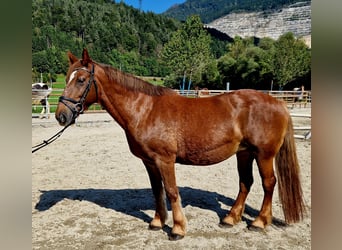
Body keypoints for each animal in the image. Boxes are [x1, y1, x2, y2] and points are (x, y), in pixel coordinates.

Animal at [55, 48, 304, 240]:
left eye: (81, 80)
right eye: (67, 78)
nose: (61, 116)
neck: (145, 110)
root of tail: (278, 103)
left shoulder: (165, 160)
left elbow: (172, 191)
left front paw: (177, 229)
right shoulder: (149, 162)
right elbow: (157, 191)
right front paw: (157, 222)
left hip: (264, 155)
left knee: (268, 184)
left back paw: (259, 222)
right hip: (244, 153)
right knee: (246, 183)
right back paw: (230, 218)